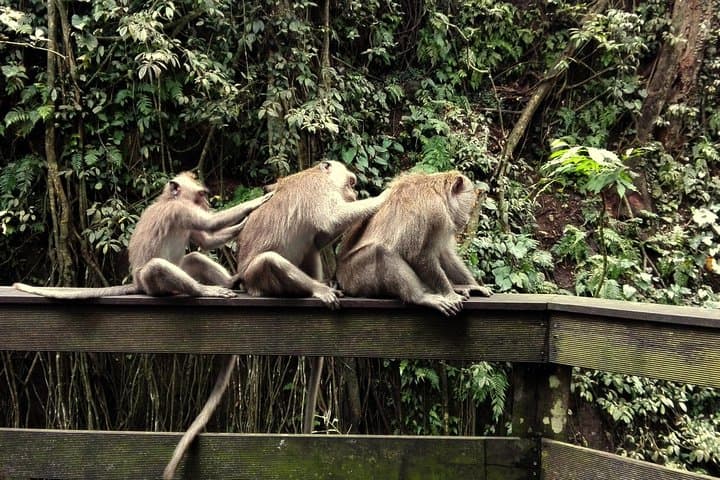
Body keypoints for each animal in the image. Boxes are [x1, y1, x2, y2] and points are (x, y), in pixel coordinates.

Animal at [14, 172, 272, 299]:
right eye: (200, 195)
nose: (207, 203)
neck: (169, 199)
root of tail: (137, 284)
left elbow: (205, 241)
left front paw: (243, 223)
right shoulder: (179, 210)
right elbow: (210, 224)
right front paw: (254, 203)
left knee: (192, 259)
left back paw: (230, 281)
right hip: (150, 283)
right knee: (157, 267)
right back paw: (204, 290)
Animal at [336, 170, 492, 317]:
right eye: (469, 205)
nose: (467, 219)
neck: (440, 194)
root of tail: (341, 279)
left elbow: (445, 254)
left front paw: (473, 285)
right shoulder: (435, 212)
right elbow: (418, 256)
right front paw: (450, 294)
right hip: (356, 279)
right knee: (381, 251)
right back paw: (419, 297)